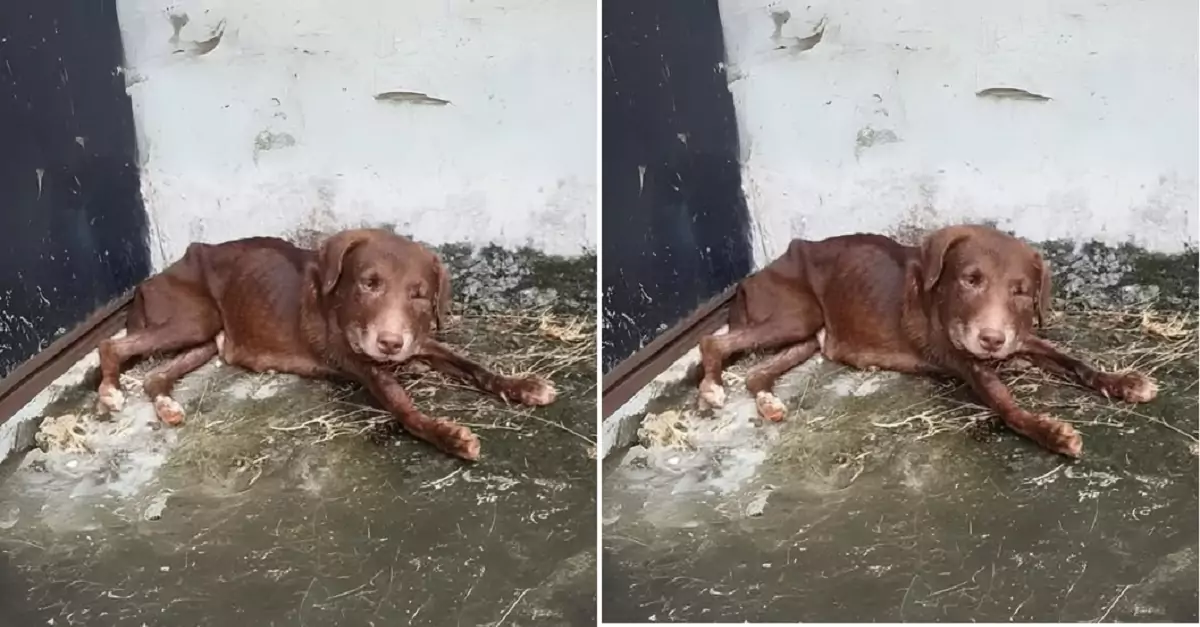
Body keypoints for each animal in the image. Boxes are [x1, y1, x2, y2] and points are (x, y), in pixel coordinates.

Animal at [97, 227, 556, 456]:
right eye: (369, 283)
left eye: (419, 294)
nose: (390, 344)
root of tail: (156, 275)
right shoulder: (364, 366)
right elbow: (405, 411)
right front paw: (448, 436)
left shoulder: (421, 342)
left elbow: (474, 366)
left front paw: (522, 386)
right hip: (196, 318)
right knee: (111, 346)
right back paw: (109, 391)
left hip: (209, 340)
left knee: (155, 376)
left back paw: (167, 406)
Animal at [700, 222, 1156, 456]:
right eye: (971, 280)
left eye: (1020, 291)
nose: (991, 340)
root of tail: (755, 274)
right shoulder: (966, 362)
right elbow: (1007, 407)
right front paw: (1050, 433)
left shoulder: (1021, 338)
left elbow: (1075, 362)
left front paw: (1123, 382)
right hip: (797, 314)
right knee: (712, 343)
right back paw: (711, 388)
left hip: (810, 338)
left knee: (757, 373)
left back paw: (768, 403)